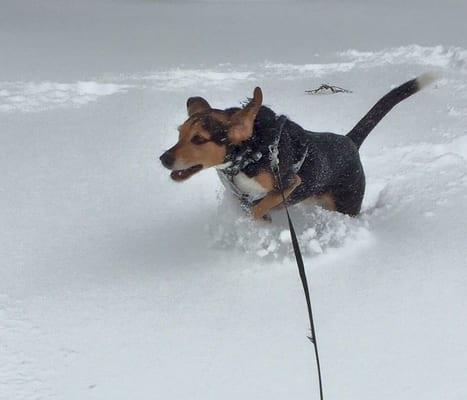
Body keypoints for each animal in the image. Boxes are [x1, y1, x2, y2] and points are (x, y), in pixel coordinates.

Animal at [160, 73, 436, 220]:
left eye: (199, 139)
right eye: (180, 134)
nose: (163, 159)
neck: (248, 154)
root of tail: (349, 141)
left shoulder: (288, 183)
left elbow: (258, 208)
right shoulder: (240, 196)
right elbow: (251, 206)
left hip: (347, 205)